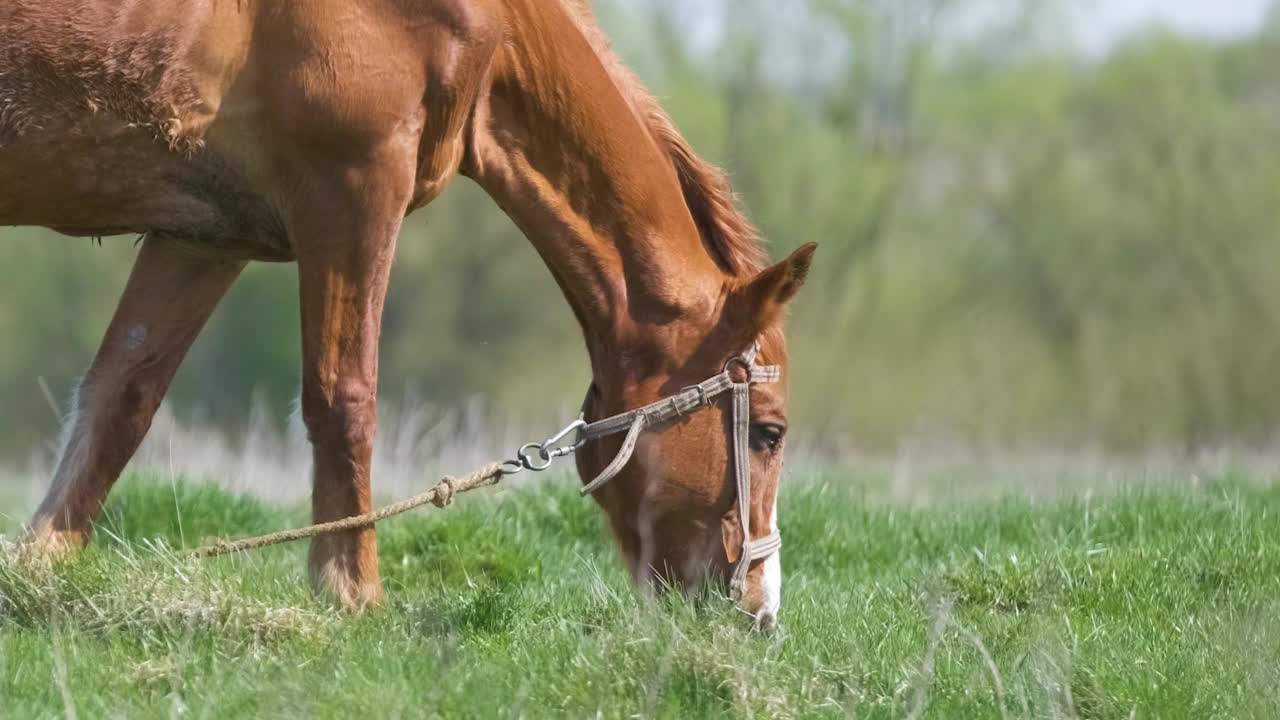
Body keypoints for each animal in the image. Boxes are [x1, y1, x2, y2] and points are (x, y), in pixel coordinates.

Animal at [0, 0, 814, 625]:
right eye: (769, 433)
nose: (762, 611)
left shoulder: (202, 238)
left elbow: (121, 400)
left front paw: (38, 570)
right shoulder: (355, 185)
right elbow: (343, 398)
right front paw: (351, 593)